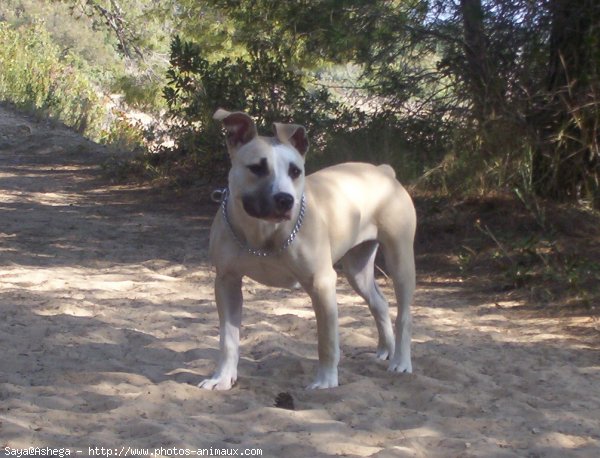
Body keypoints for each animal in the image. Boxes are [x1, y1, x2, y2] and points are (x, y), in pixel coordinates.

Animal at [199, 108, 414, 390]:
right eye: (257, 168)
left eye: (295, 171)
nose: (285, 199)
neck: (263, 233)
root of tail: (384, 171)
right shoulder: (227, 282)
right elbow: (228, 340)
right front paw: (222, 378)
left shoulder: (321, 283)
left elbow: (327, 341)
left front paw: (326, 381)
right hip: (357, 270)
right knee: (380, 303)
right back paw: (386, 349)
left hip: (401, 261)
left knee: (404, 314)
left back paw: (401, 361)